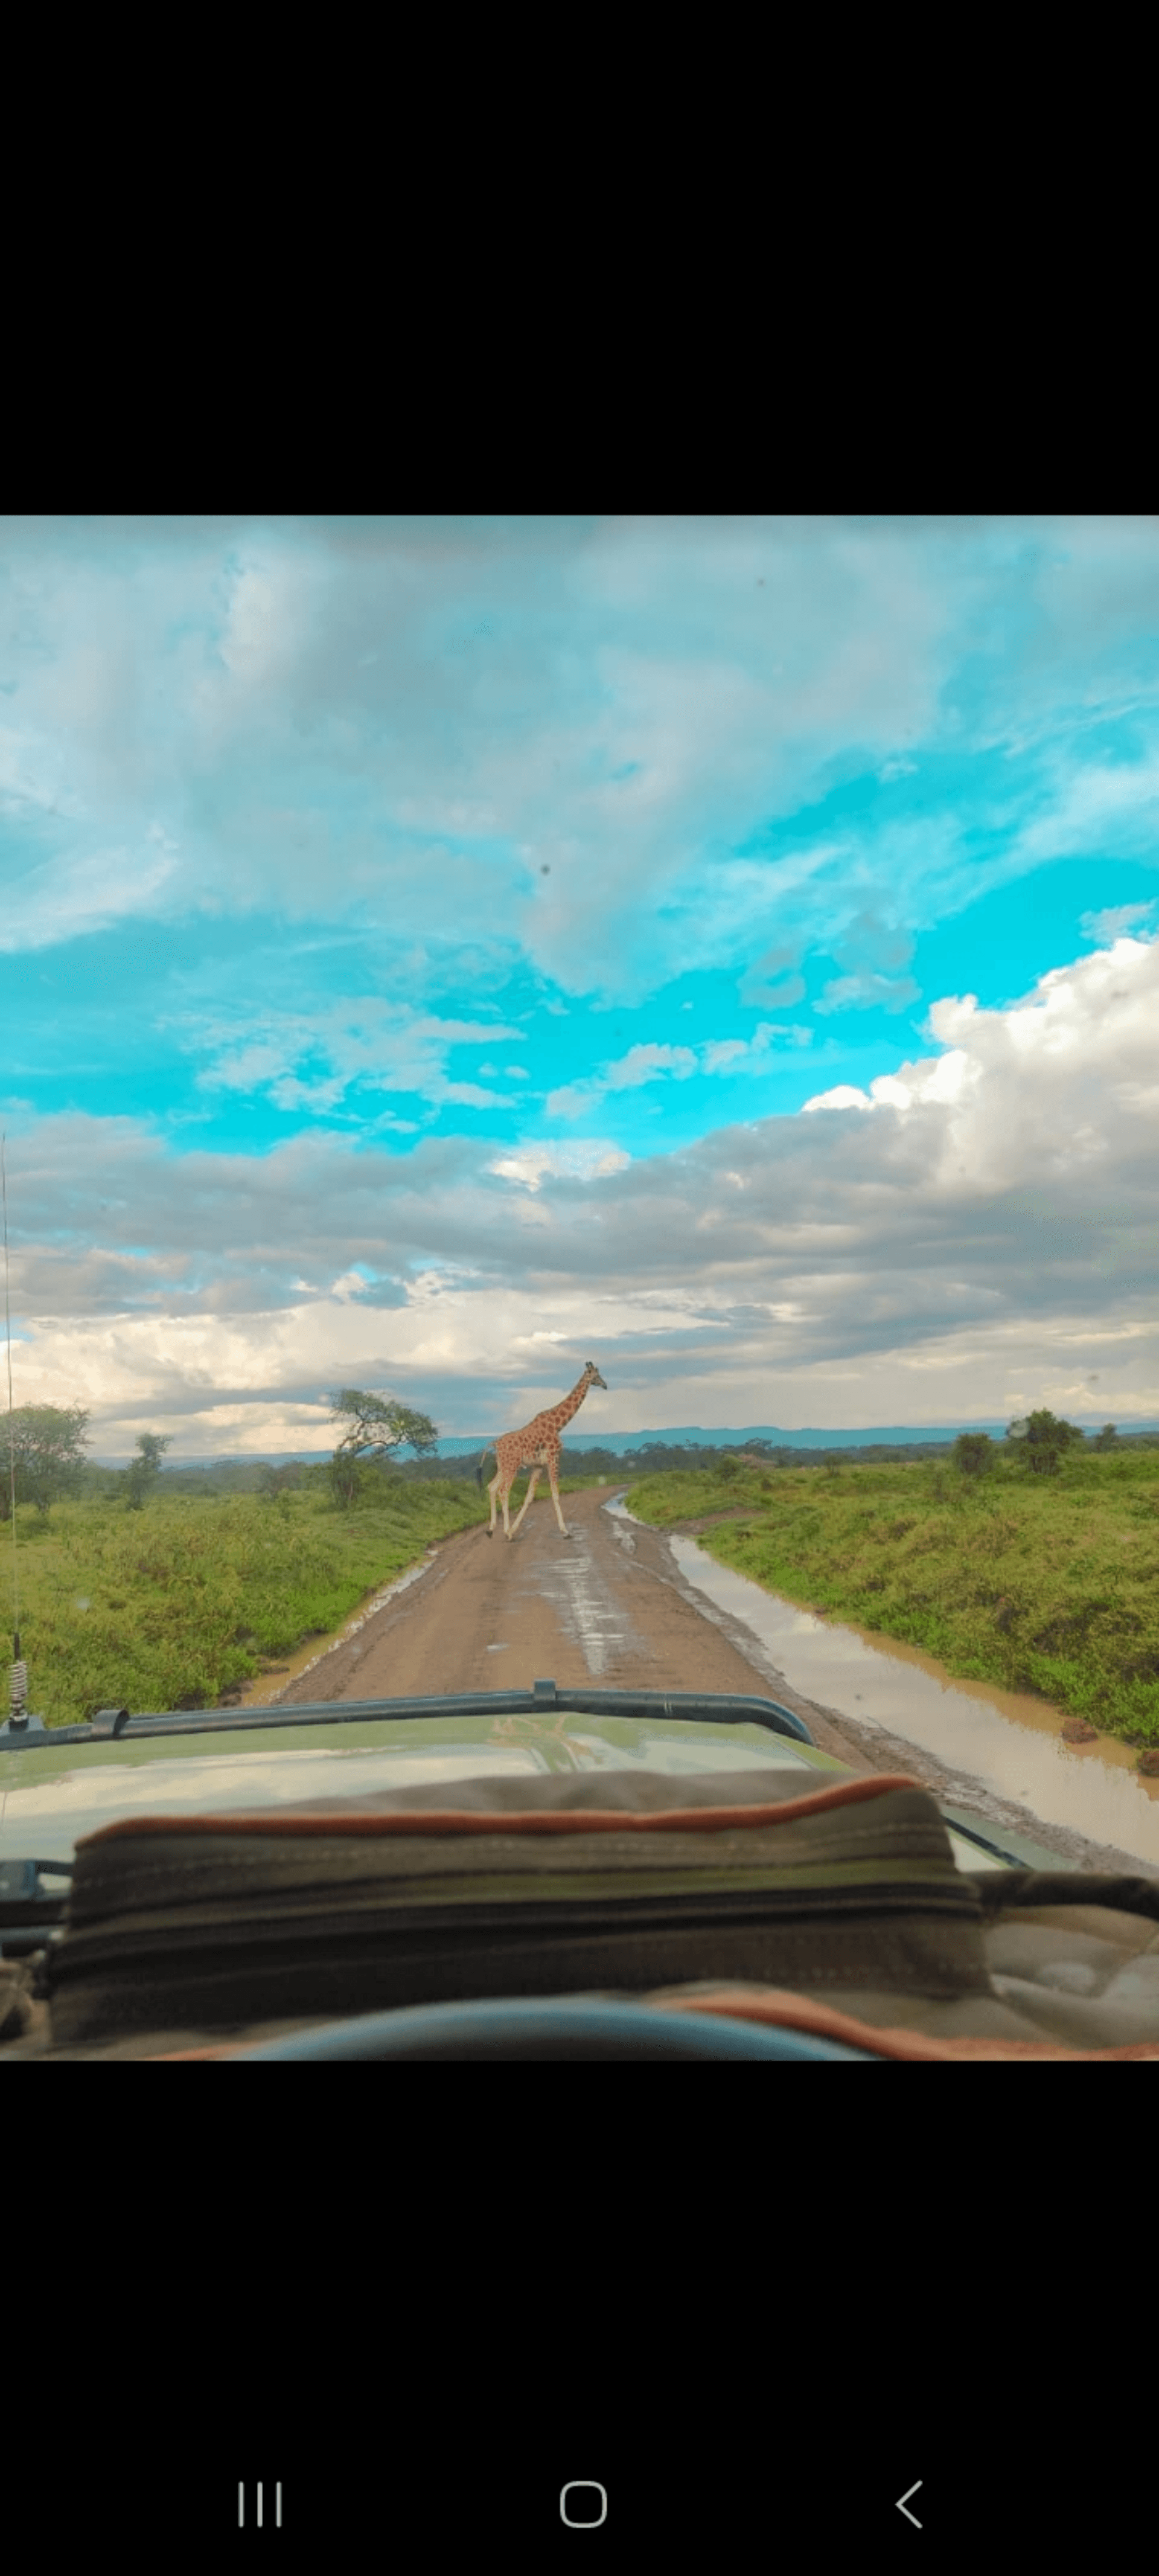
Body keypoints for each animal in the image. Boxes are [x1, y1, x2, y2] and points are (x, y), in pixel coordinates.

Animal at [476, 1362, 608, 1540]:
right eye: (596, 1375)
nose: (605, 1385)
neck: (558, 1425)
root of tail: (495, 1443)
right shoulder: (554, 1458)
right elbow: (555, 1493)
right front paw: (565, 1531)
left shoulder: (538, 1466)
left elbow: (530, 1497)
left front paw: (514, 1529)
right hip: (512, 1466)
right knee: (503, 1491)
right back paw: (506, 1533)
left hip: (503, 1466)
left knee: (492, 1487)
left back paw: (491, 1530)